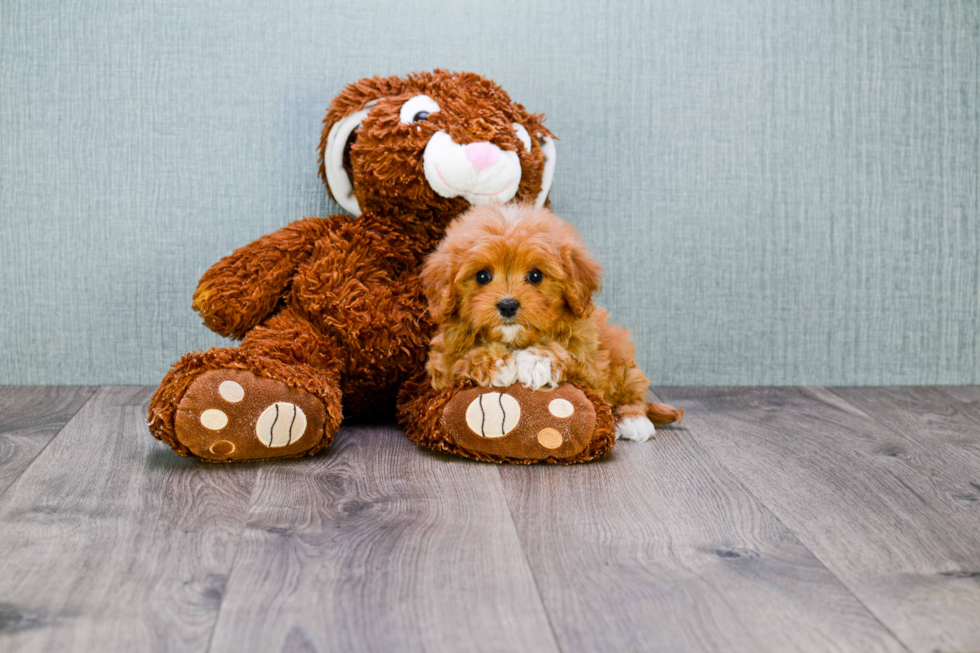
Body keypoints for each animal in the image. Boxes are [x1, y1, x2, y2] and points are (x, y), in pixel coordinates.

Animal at [422, 201, 680, 440]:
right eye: (482, 276)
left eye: (535, 276)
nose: (508, 305)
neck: (515, 340)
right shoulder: (441, 365)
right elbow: (458, 362)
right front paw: (497, 363)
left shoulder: (591, 365)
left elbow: (571, 357)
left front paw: (535, 360)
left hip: (618, 348)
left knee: (632, 388)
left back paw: (634, 420)